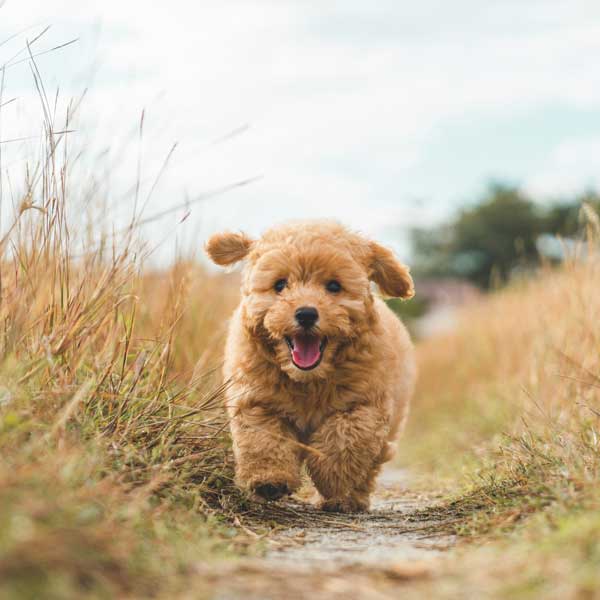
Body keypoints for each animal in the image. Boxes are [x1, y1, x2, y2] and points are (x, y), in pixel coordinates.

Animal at [205, 223, 412, 512]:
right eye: (280, 284)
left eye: (334, 286)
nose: (305, 314)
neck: (308, 379)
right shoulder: (257, 399)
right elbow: (262, 438)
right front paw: (268, 480)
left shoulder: (364, 403)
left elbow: (345, 437)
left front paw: (332, 478)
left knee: (370, 466)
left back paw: (348, 500)